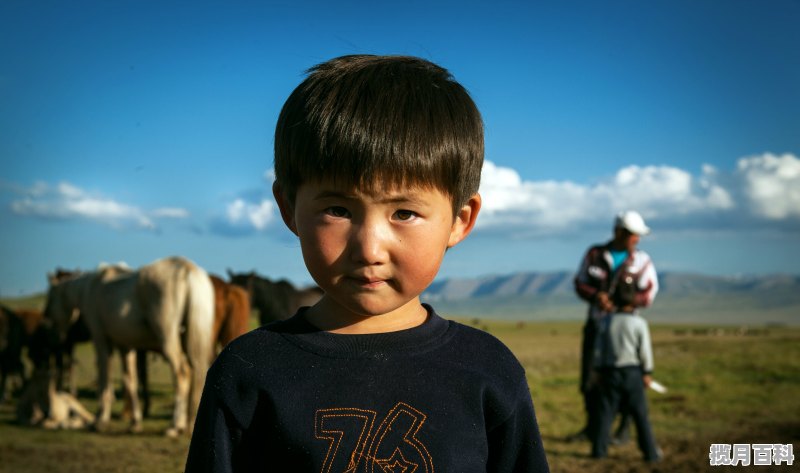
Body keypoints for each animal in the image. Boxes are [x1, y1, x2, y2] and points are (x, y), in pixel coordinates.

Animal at [43, 254, 212, 436]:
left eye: (50, 297)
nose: (46, 318)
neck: (90, 288)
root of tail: (186, 268)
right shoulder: (125, 347)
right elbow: (130, 380)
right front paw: (135, 422)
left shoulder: (101, 341)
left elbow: (105, 379)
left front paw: (100, 420)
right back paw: (185, 424)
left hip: (168, 340)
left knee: (182, 374)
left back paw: (174, 426)